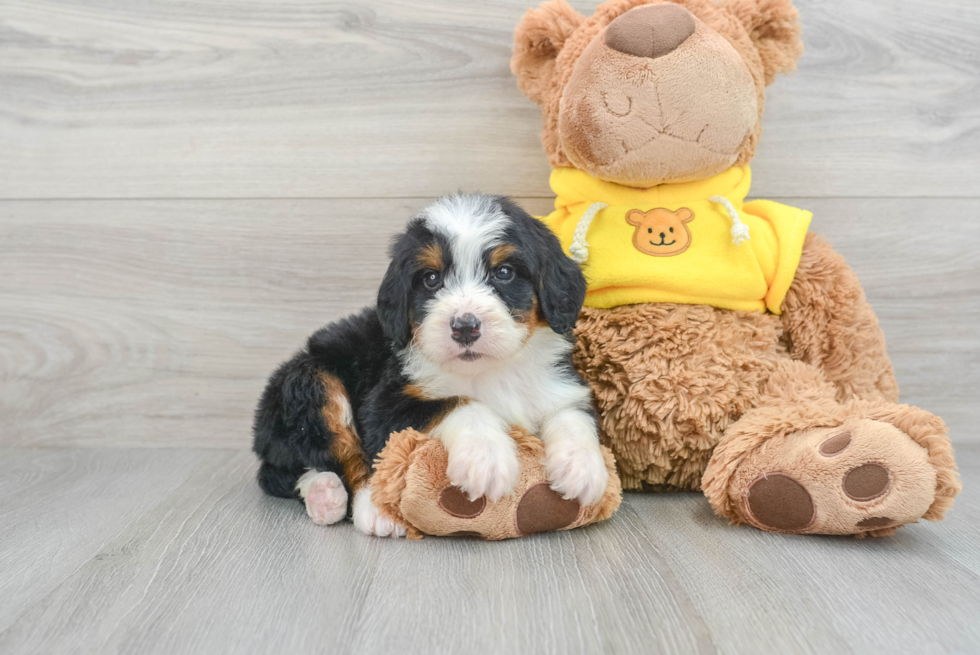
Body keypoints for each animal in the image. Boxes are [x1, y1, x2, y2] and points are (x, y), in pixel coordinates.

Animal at [253, 192, 604, 536]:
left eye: (504, 272)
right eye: (431, 278)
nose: (465, 326)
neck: (490, 372)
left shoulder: (558, 384)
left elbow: (571, 414)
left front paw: (582, 466)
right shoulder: (386, 403)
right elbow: (460, 403)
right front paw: (486, 456)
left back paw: (323, 495)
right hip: (314, 380)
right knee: (331, 457)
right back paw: (366, 507)